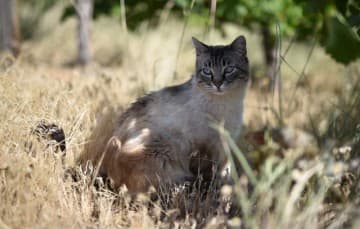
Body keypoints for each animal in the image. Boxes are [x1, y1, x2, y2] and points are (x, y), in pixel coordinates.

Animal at [80, 35, 249, 193]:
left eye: (229, 70)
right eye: (207, 72)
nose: (217, 84)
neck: (226, 102)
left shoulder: (225, 143)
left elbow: (225, 169)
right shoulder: (205, 145)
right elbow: (215, 172)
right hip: (163, 143)